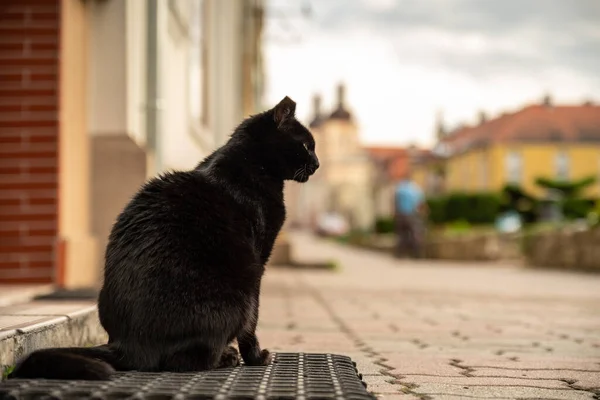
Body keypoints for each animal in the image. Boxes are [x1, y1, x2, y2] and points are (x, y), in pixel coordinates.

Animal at [8, 95, 318, 380]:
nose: (317, 164)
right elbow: (252, 322)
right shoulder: (258, 264)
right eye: (306, 145)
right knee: (185, 361)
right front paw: (256, 357)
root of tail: (127, 344)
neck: (251, 165)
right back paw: (225, 357)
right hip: (238, 294)